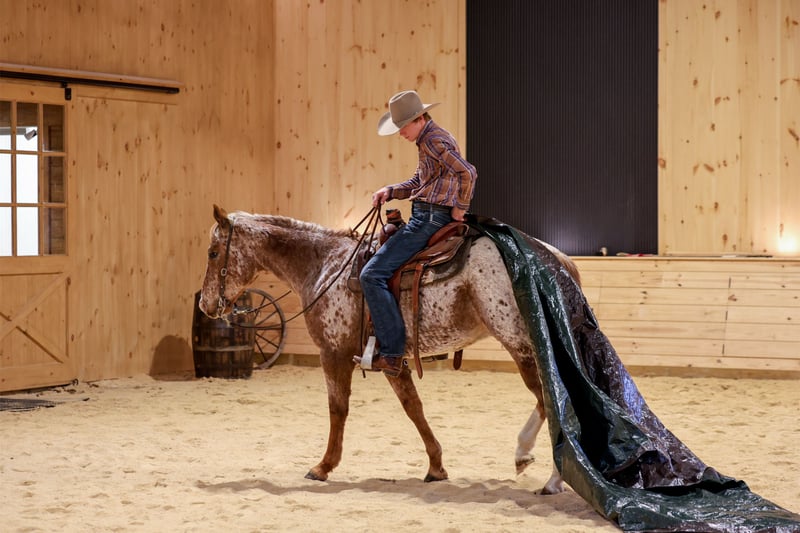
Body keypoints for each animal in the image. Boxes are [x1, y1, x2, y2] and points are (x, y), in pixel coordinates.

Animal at [199, 204, 582, 494]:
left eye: (213, 252)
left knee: (553, 403)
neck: (324, 265)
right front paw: (436, 466)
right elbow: (414, 408)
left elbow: (337, 408)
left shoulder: (332, 353)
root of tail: (553, 256)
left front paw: (323, 466)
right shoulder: (392, 361)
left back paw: (542, 470)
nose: (205, 305)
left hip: (522, 346)